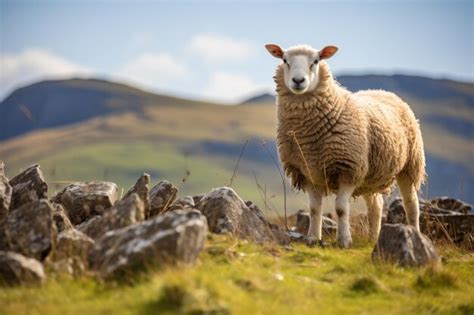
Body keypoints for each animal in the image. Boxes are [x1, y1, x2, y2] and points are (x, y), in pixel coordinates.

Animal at [262, 43, 426, 248]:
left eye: (316, 61)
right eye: (285, 60)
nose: (298, 80)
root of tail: (383, 91)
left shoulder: (348, 168)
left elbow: (340, 208)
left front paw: (345, 240)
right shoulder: (307, 171)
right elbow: (314, 208)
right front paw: (312, 237)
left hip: (410, 164)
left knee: (411, 204)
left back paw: (415, 233)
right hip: (369, 174)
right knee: (376, 205)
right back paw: (373, 238)